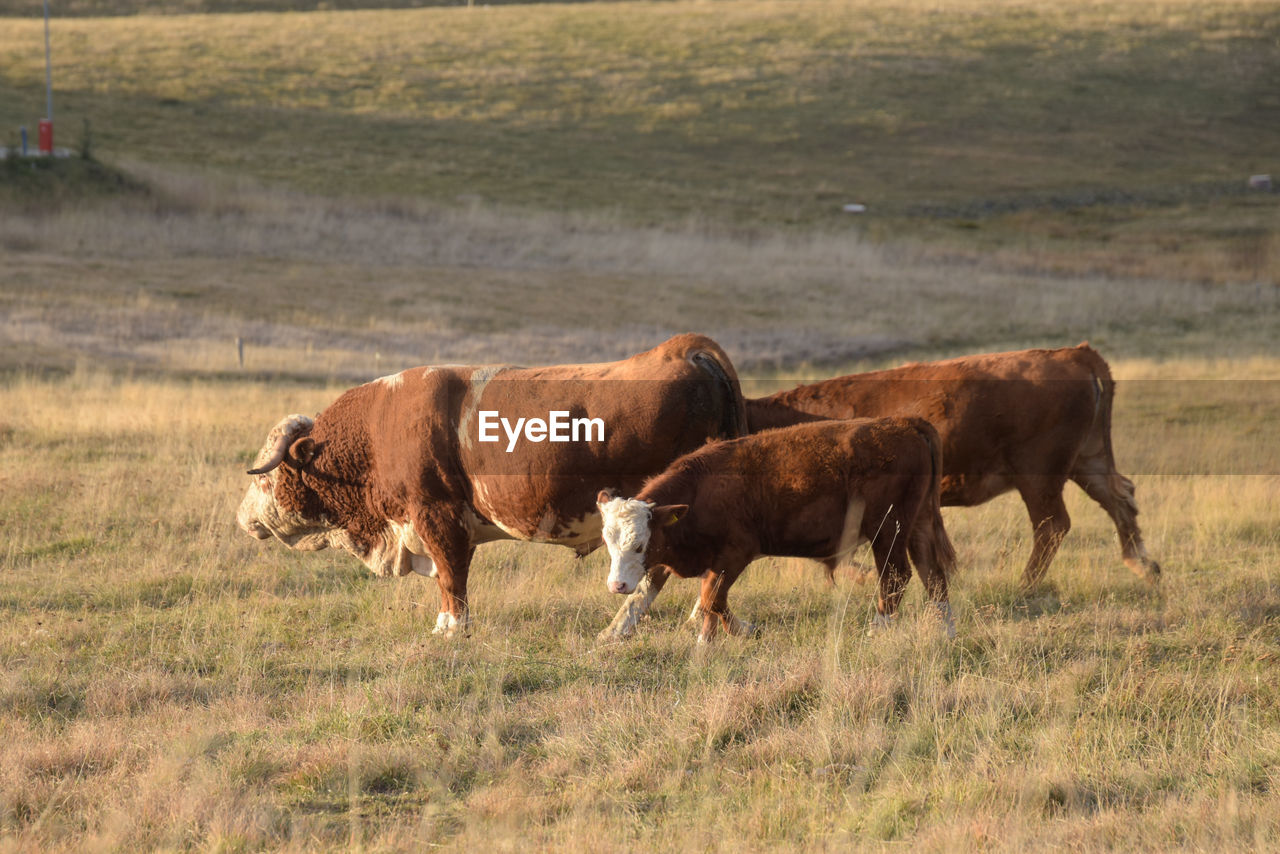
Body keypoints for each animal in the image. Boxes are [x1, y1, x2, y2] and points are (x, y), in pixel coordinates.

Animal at [235, 332, 747, 635]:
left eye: (271, 474)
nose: (241, 517)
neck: (379, 429)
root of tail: (683, 349)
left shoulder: (437, 515)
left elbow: (451, 576)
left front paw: (450, 629)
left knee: (653, 572)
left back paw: (619, 629)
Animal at [593, 414, 957, 640]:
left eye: (639, 545)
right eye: (610, 545)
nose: (615, 585)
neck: (701, 490)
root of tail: (904, 423)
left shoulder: (735, 553)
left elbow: (711, 598)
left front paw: (742, 630)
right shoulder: (676, 554)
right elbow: (647, 595)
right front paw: (613, 633)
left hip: (887, 530)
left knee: (896, 576)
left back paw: (879, 629)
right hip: (919, 523)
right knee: (933, 573)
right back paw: (946, 630)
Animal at [747, 340, 1162, 588]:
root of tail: (1073, 354)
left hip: (1038, 476)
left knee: (1052, 525)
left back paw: (1024, 586)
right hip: (1087, 462)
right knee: (1120, 498)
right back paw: (1144, 566)